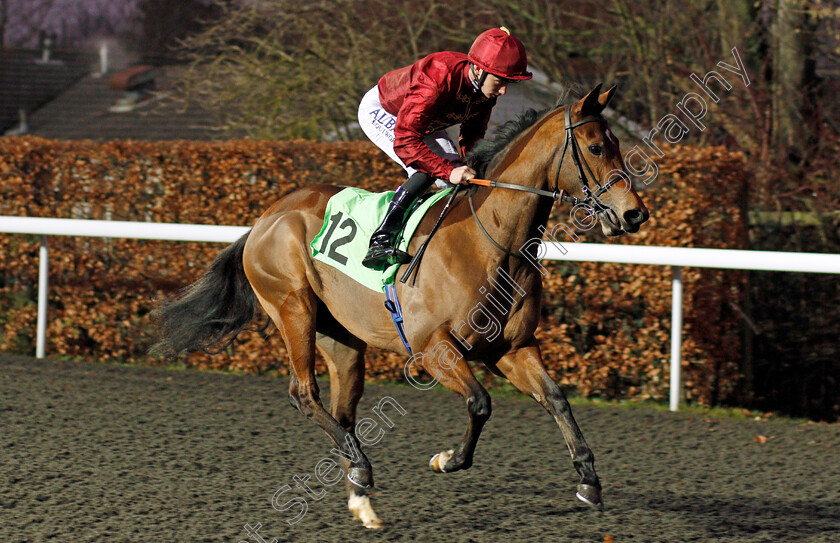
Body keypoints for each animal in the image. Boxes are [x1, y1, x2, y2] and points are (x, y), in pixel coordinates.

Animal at [151, 84, 648, 528]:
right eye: (597, 146)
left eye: (617, 144)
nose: (634, 213)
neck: (490, 240)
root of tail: (264, 219)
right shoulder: (434, 351)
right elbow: (480, 403)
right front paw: (446, 459)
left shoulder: (513, 349)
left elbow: (557, 399)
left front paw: (588, 480)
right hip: (293, 309)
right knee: (303, 393)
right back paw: (362, 466)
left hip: (343, 339)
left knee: (343, 410)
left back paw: (361, 497)